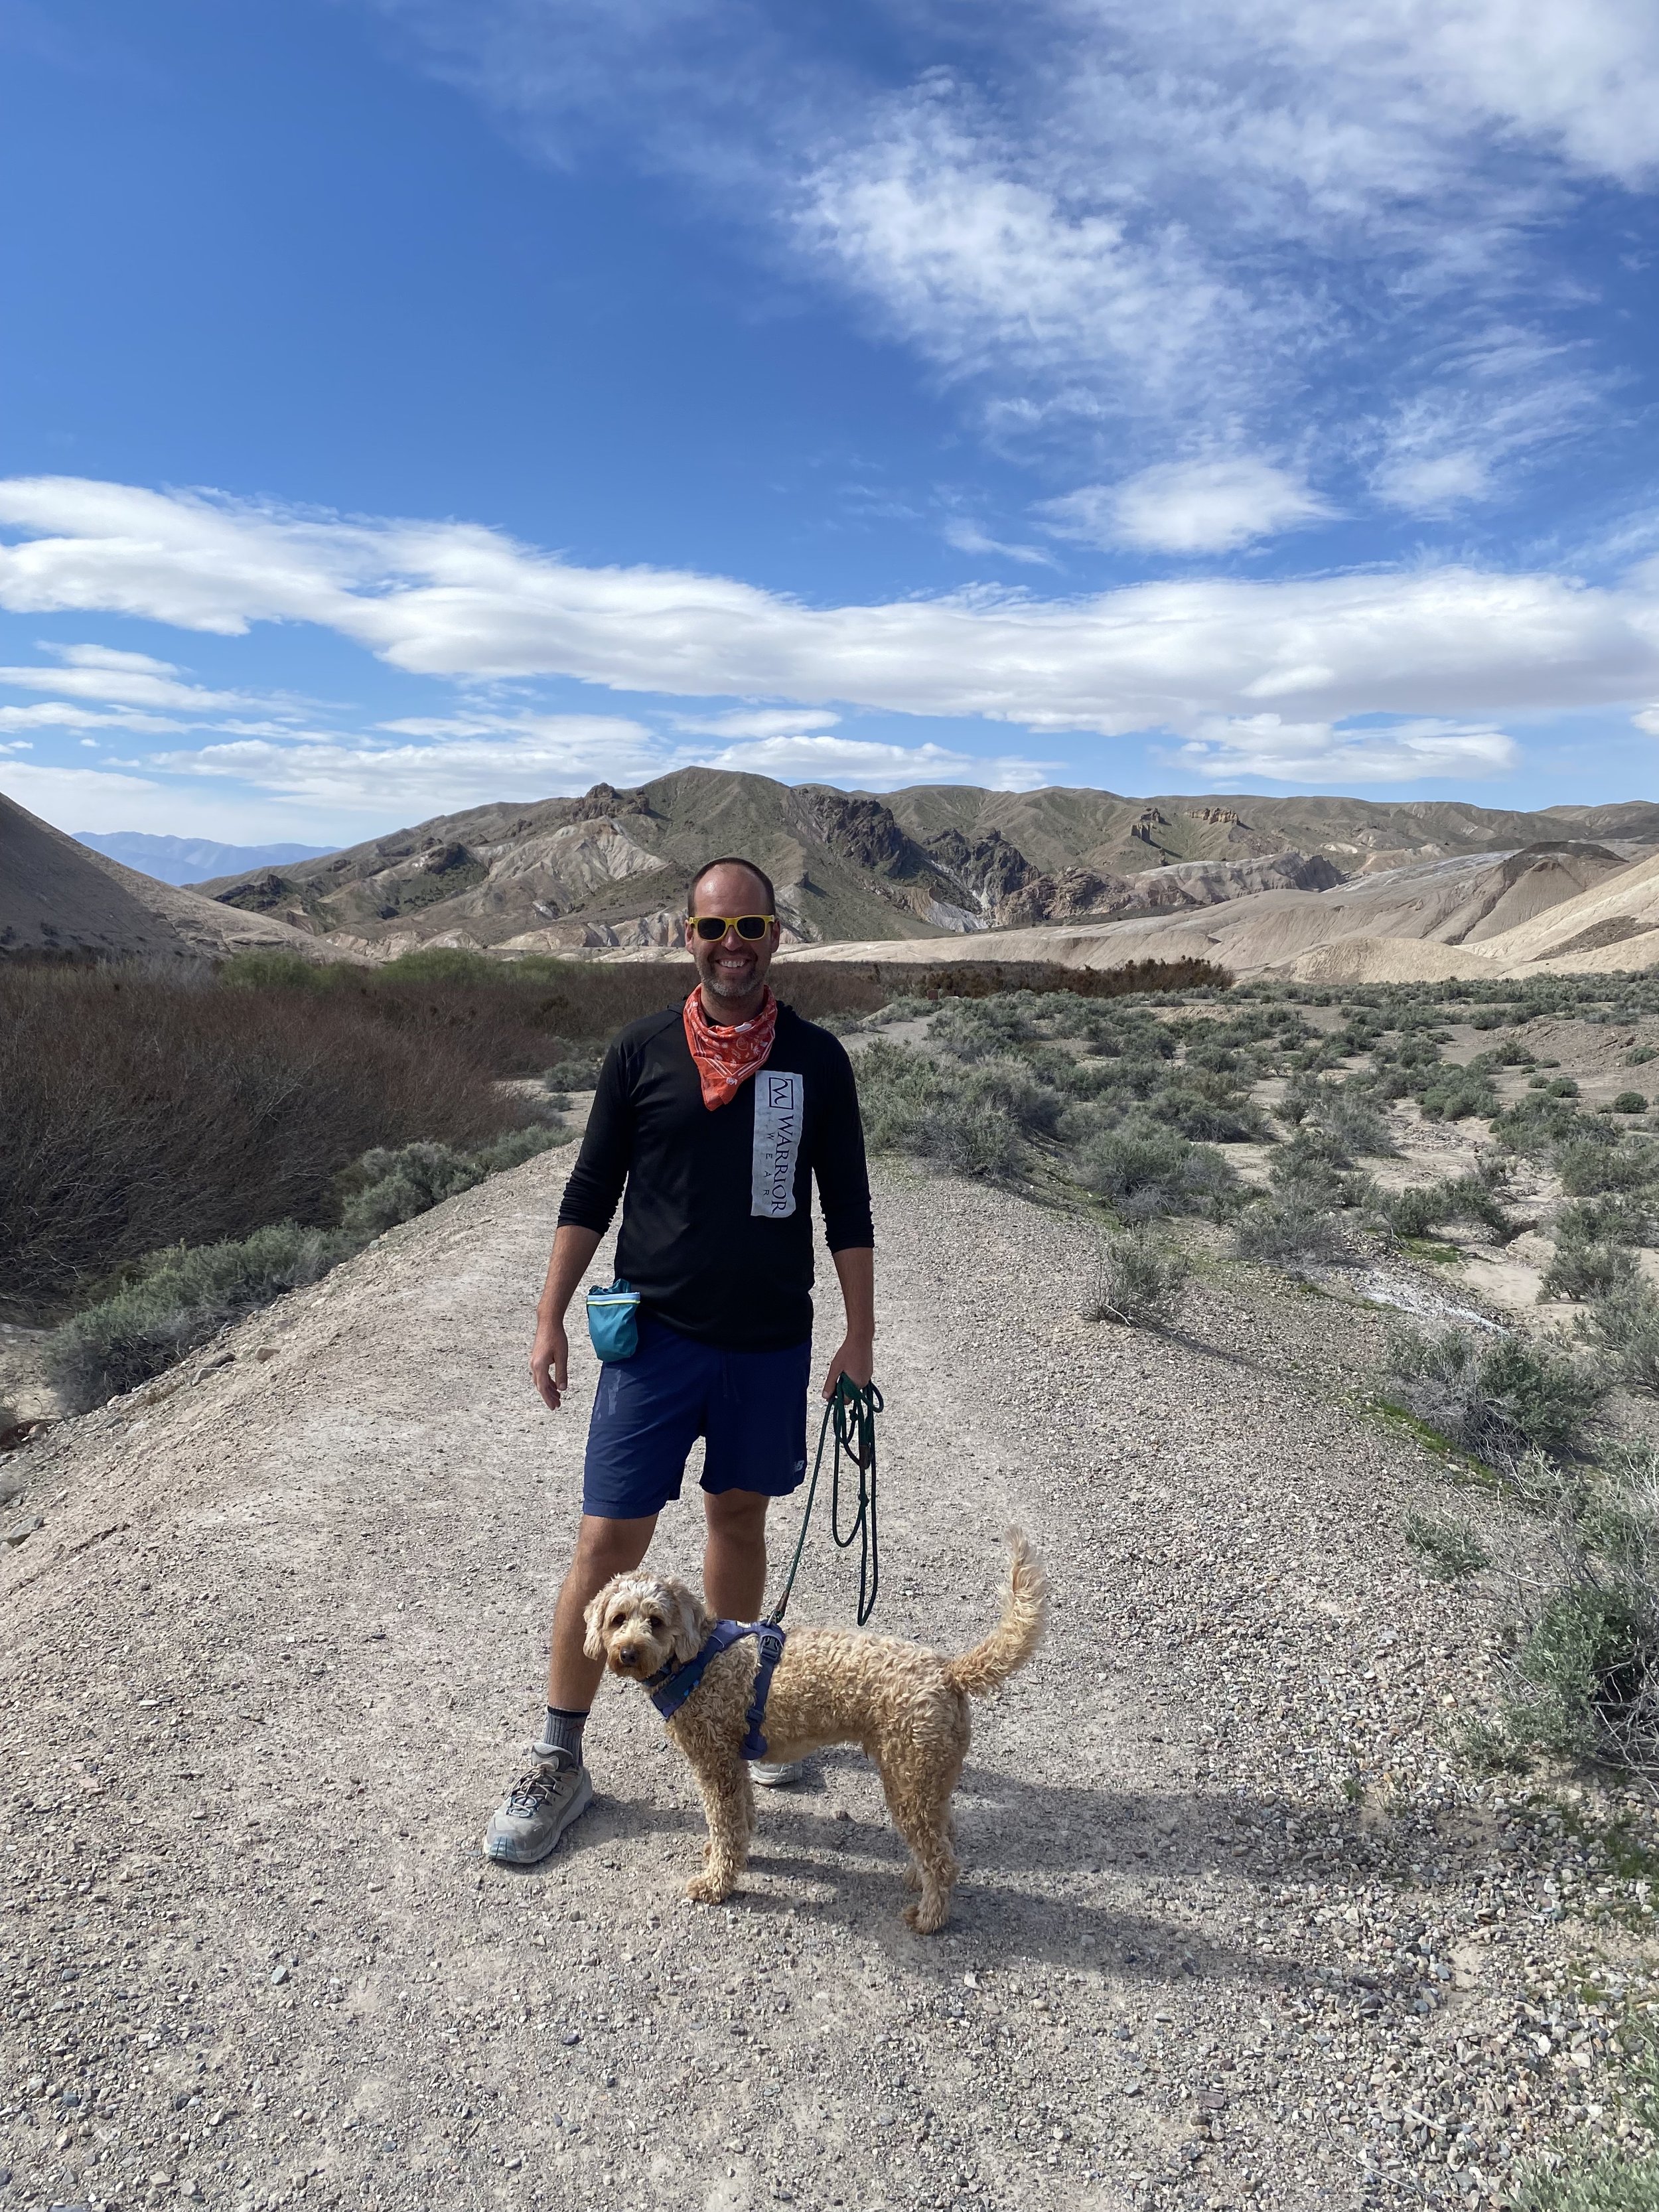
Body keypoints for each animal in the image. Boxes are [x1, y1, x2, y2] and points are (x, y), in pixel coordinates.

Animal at [593, 1530, 1044, 1929]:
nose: (627, 1652)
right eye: (618, 1619)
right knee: (946, 1834)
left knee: (944, 1861)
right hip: (930, 1779)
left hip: (908, 1782)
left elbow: (725, 1824)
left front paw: (716, 1883)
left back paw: (929, 1918)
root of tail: (950, 1673)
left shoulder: (715, 1764)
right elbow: (741, 1819)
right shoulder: (734, 1764)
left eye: (655, 1621)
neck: (696, 1661)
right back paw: (918, 1879)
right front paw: (735, 1855)